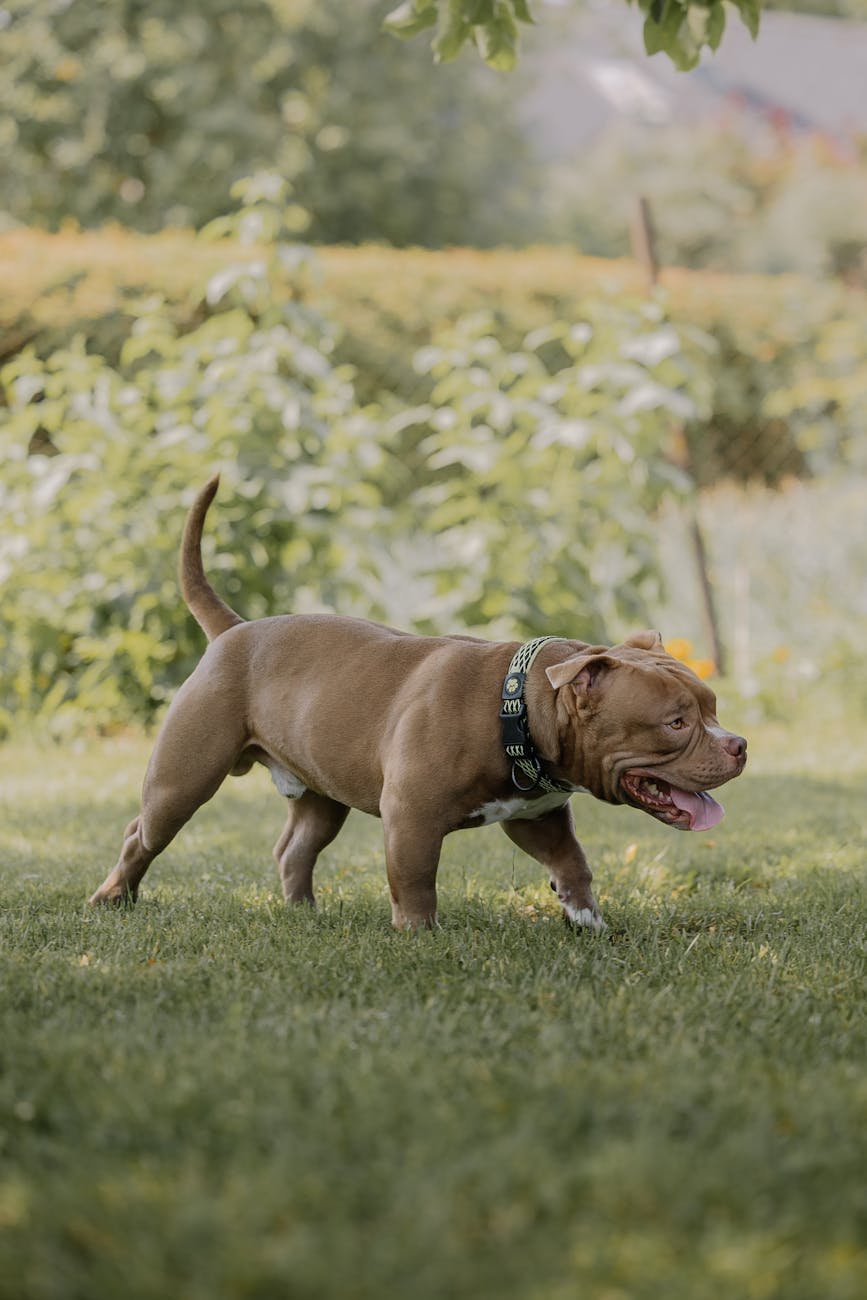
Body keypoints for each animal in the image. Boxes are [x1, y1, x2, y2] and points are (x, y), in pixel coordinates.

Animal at [91, 483, 748, 930]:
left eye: (713, 710)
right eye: (676, 724)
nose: (739, 745)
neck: (516, 705)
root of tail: (235, 630)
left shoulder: (537, 817)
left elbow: (574, 864)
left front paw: (587, 920)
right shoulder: (411, 816)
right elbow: (415, 879)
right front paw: (419, 935)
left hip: (320, 793)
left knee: (294, 849)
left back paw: (304, 913)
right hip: (183, 779)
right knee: (140, 834)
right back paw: (112, 898)